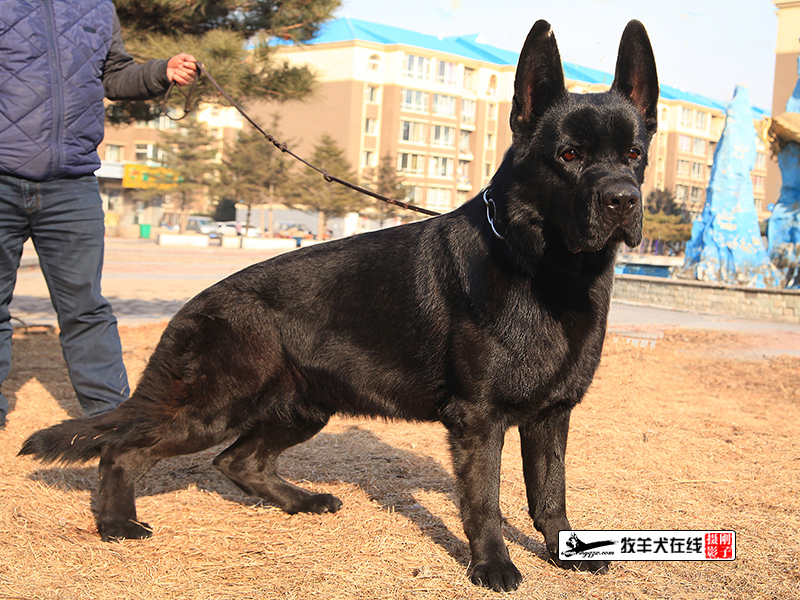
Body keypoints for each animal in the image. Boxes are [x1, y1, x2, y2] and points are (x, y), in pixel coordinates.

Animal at [20, 19, 656, 596]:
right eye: (568, 154)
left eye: (633, 153)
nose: (623, 199)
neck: (542, 271)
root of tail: (194, 305)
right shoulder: (479, 421)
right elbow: (486, 502)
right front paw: (492, 566)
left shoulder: (552, 416)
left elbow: (551, 497)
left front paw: (565, 554)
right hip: (214, 409)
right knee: (124, 449)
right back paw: (116, 523)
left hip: (302, 409)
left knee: (237, 463)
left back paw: (297, 501)